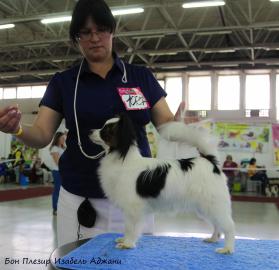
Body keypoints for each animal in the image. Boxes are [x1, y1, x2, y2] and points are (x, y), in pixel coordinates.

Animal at [91, 113, 235, 254]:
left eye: (105, 130)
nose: (90, 131)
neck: (122, 157)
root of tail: (211, 162)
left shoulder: (134, 208)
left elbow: (131, 227)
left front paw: (128, 244)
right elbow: (127, 227)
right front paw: (124, 240)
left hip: (214, 205)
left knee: (228, 226)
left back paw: (227, 248)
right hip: (205, 207)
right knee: (217, 224)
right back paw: (213, 239)